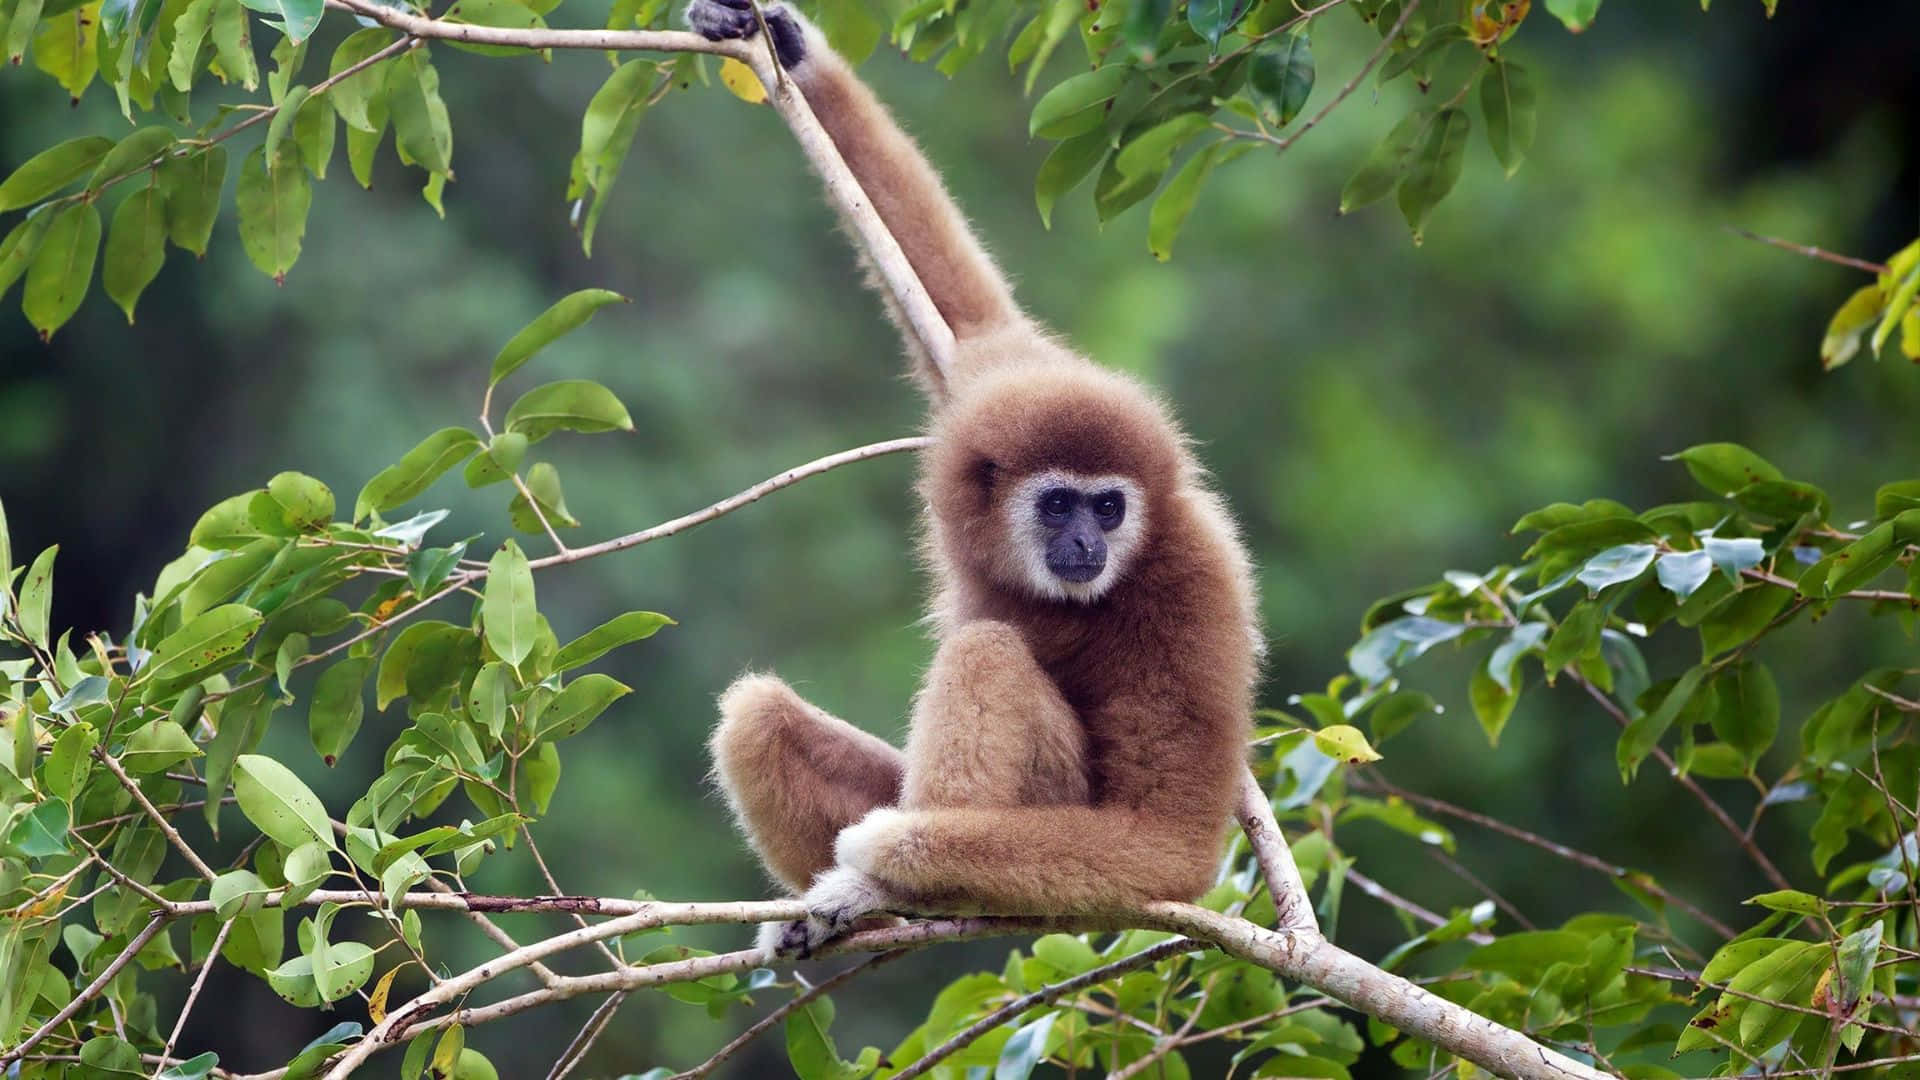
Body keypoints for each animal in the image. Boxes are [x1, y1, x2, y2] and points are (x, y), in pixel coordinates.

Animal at [689, 0, 1263, 959]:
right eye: (1060, 503)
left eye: (1111, 508)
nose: (1086, 541)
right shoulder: (994, 376)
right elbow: (964, 308)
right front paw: (788, 45)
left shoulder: (1196, 581)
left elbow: (1166, 845)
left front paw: (887, 857)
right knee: (757, 714)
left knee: (986, 653)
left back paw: (882, 887)